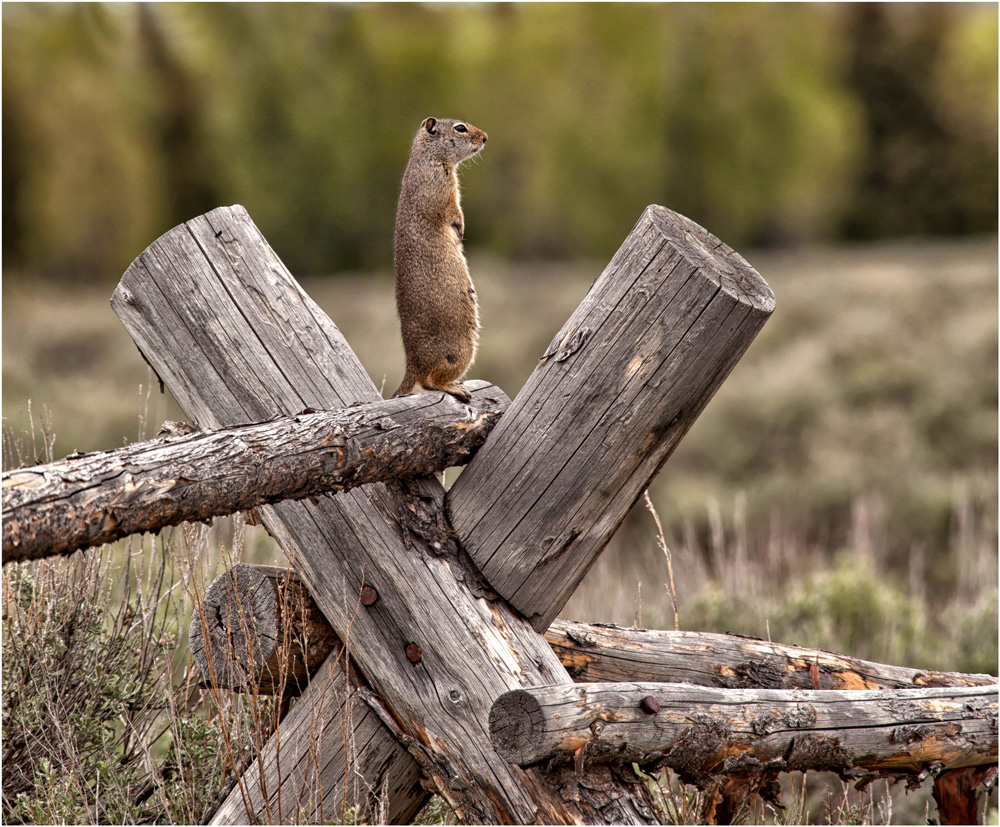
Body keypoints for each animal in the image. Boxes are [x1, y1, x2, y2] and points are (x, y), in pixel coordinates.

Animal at [392, 115, 486, 402]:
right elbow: (453, 210)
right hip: (461, 349)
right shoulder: (443, 188)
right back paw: (456, 388)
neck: (427, 157)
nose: (486, 137)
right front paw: (461, 228)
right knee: (430, 381)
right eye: (460, 128)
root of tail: (412, 364)